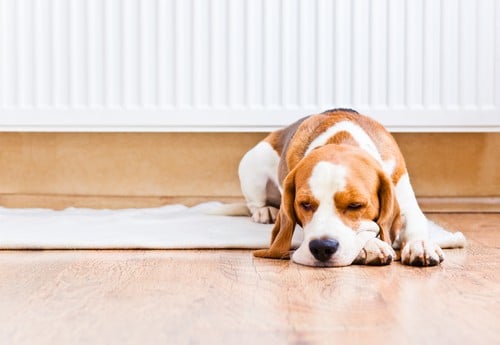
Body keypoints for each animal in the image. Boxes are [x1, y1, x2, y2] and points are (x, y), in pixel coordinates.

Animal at [238, 108, 464, 266]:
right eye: (305, 204)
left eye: (356, 205)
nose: (322, 248)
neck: (342, 140)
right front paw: (371, 245)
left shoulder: (405, 200)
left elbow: (414, 225)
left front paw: (421, 245)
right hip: (252, 164)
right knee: (254, 203)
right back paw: (265, 211)